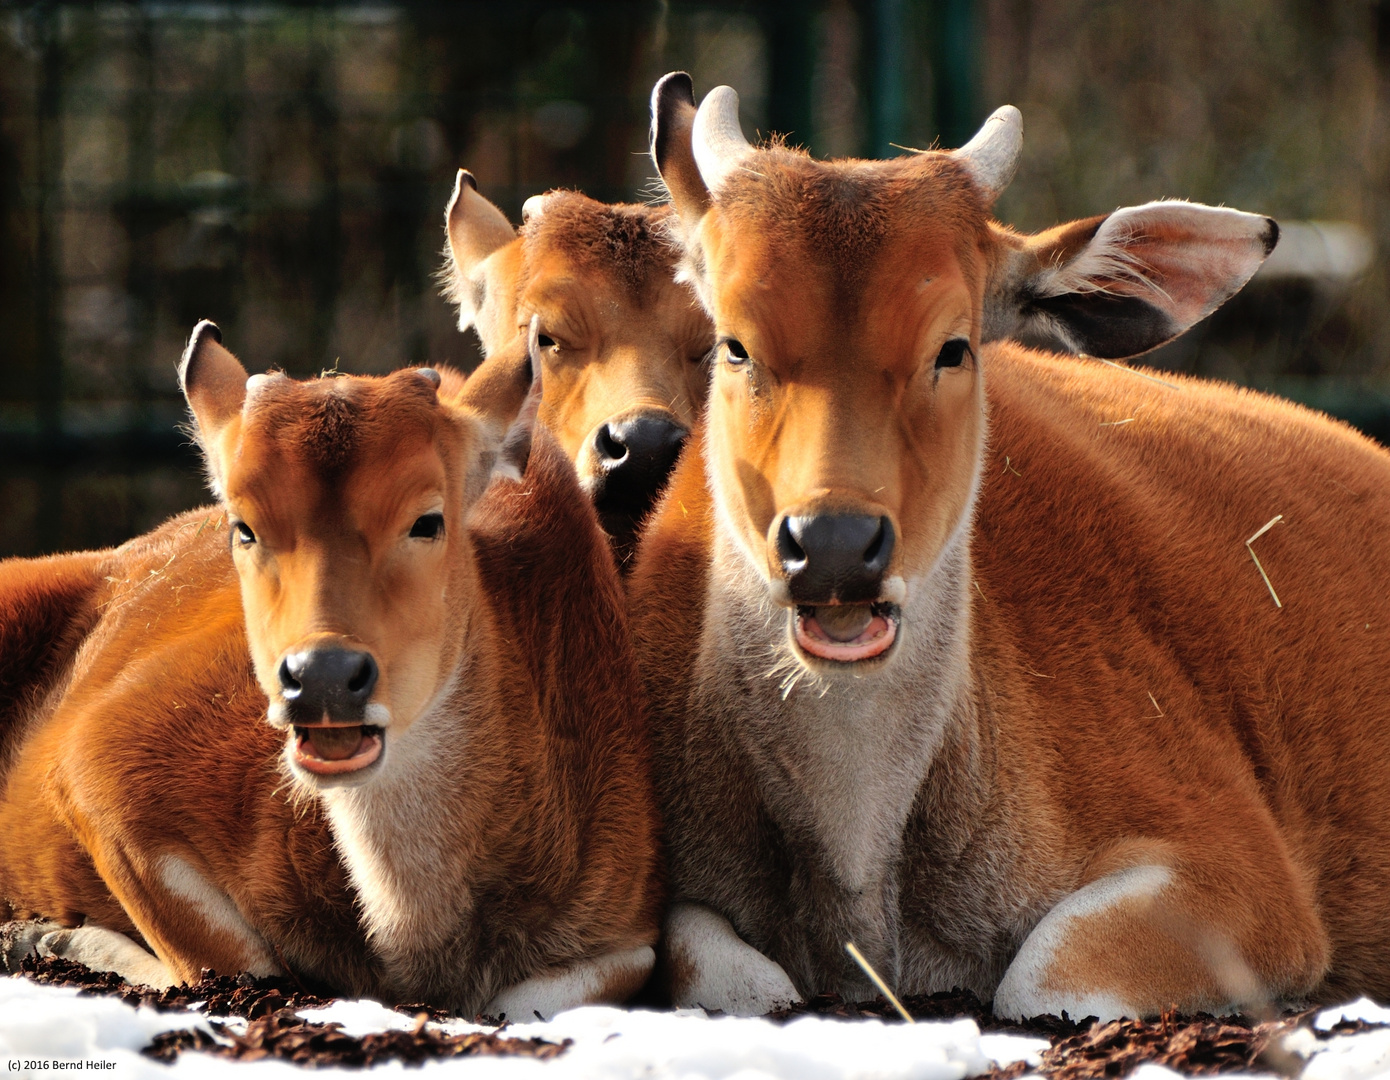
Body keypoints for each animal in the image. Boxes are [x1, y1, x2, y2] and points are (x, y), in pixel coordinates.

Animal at [0, 323, 661, 1017]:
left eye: (428, 519)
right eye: (243, 526)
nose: (322, 676)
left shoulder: (627, 933)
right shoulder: (98, 764)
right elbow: (234, 964)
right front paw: (48, 937)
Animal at [636, 73, 1390, 1017]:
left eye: (953, 345)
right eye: (734, 344)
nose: (836, 546)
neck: (862, 888)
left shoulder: (1249, 881)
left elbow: (1043, 975)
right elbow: (726, 973)